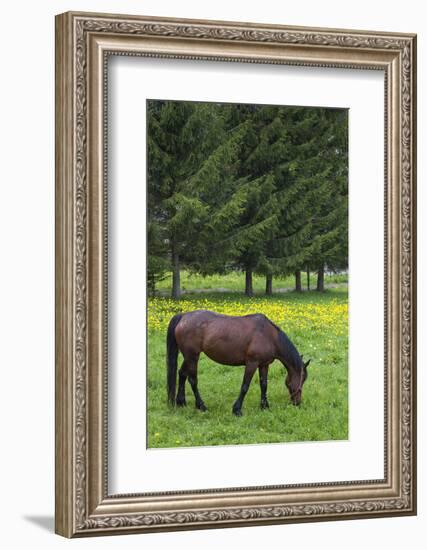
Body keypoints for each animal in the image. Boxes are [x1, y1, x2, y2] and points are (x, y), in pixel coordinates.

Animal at [166, 310, 310, 418]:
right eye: (302, 379)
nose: (297, 403)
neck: (269, 335)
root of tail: (184, 316)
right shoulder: (252, 363)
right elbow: (245, 386)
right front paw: (237, 410)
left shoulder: (264, 365)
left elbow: (264, 385)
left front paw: (264, 406)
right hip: (192, 357)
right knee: (192, 380)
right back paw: (201, 406)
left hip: (188, 357)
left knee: (182, 373)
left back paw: (181, 402)